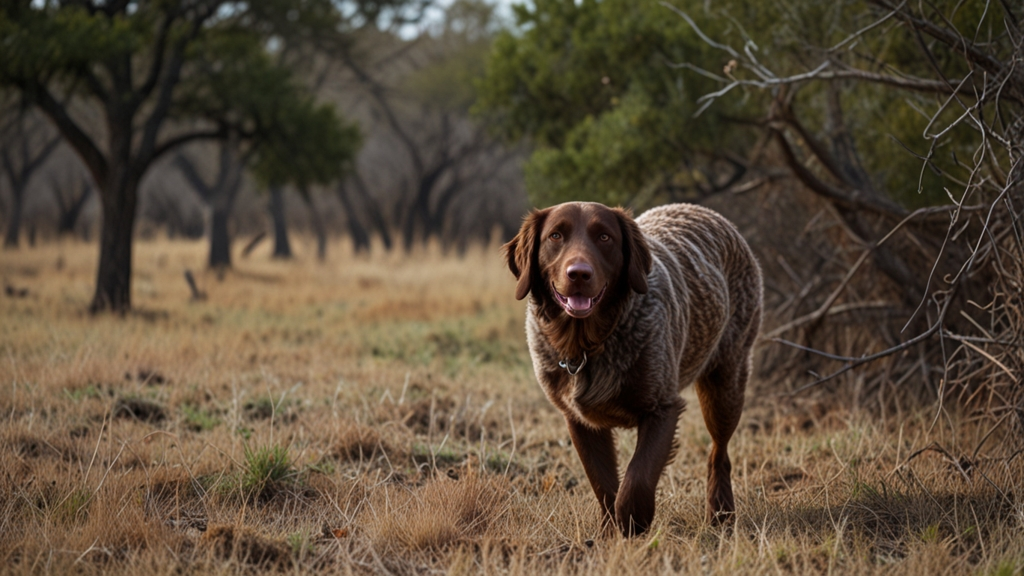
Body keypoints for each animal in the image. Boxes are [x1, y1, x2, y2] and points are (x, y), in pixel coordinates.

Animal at [503, 200, 761, 532]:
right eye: (556, 236)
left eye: (605, 237)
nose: (579, 274)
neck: (587, 345)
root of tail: (708, 212)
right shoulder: (579, 421)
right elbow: (603, 483)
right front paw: (610, 530)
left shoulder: (662, 408)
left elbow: (637, 478)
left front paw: (632, 523)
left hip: (725, 385)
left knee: (719, 452)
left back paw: (721, 512)